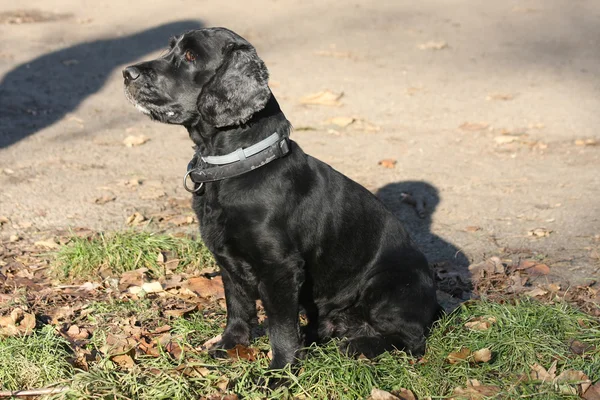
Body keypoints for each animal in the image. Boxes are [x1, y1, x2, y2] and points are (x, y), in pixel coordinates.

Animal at [123, 26, 440, 368]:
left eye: (191, 56)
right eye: (170, 48)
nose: (127, 72)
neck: (233, 168)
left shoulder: (280, 268)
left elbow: (281, 328)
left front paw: (280, 371)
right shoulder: (227, 260)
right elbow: (238, 307)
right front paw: (231, 345)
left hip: (385, 286)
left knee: (413, 340)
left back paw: (360, 346)